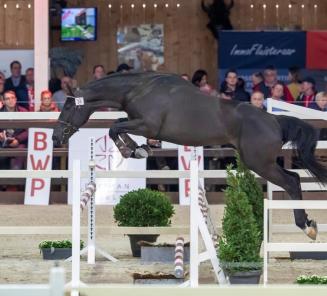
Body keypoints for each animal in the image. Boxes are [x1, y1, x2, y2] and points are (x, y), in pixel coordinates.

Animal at [53, 71, 327, 240]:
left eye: (68, 105)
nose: (56, 138)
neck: (139, 89)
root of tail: (274, 120)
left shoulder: (147, 126)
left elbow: (114, 127)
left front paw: (133, 149)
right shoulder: (138, 123)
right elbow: (118, 125)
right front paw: (137, 148)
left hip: (259, 162)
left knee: (291, 181)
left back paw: (307, 227)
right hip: (261, 162)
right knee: (293, 179)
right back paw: (308, 224)